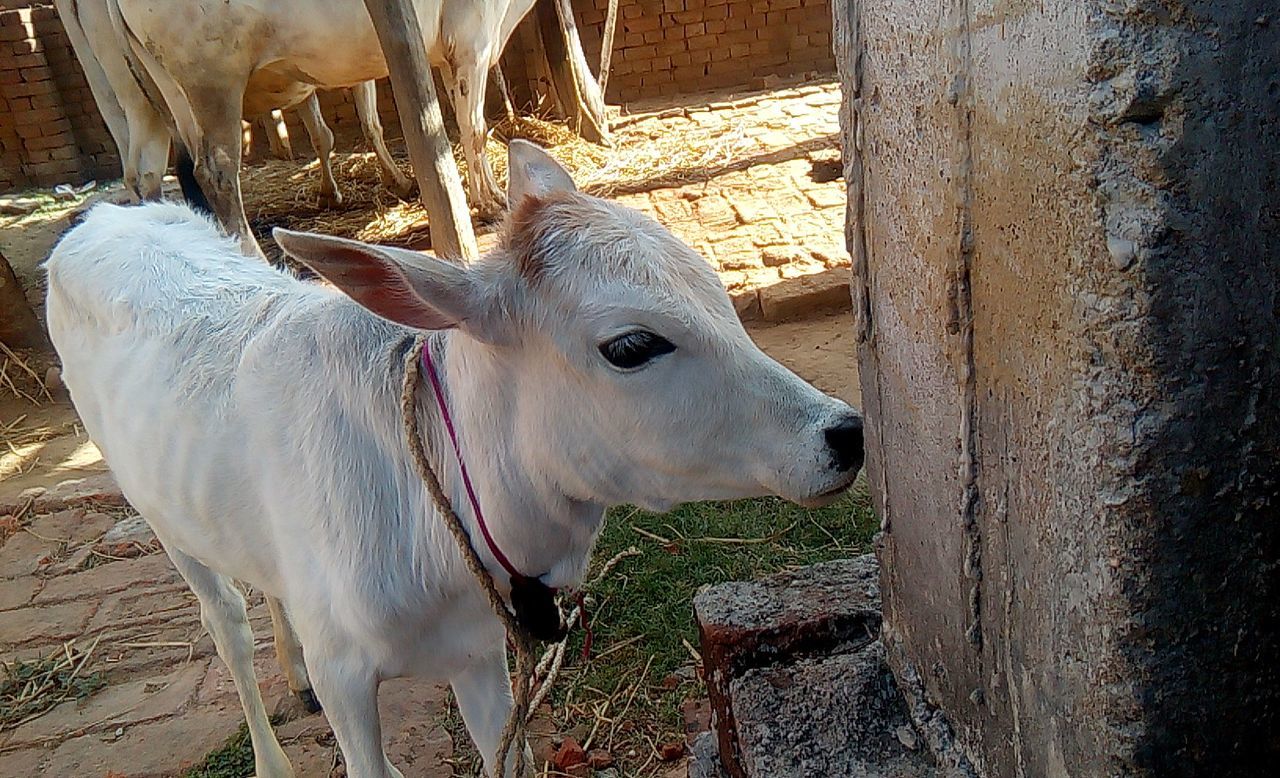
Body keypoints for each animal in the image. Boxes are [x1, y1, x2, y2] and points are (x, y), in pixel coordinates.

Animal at [47, 141, 870, 778]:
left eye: (714, 290)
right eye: (632, 346)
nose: (846, 433)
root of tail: (107, 216)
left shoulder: (479, 656)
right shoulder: (347, 676)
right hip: (161, 518)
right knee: (226, 626)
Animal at [57, 0, 412, 207]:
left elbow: (321, 135)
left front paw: (329, 193)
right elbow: (370, 125)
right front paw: (399, 181)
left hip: (135, 95)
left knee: (142, 173)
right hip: (208, 82)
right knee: (213, 171)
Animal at [104, 0, 535, 255]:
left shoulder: (453, 52)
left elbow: (465, 126)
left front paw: (489, 194)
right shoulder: (472, 40)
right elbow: (474, 128)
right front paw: (492, 203)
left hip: (160, 93)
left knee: (147, 173)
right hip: (212, 81)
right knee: (215, 172)